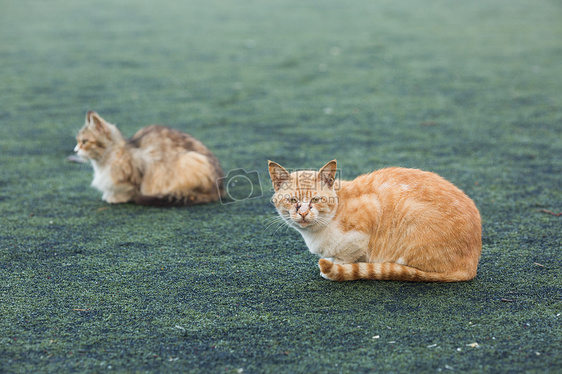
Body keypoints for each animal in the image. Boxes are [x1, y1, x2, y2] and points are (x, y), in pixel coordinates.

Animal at [74, 109, 223, 206]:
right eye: (77, 141)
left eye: (84, 141)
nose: (75, 150)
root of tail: (220, 189)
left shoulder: (136, 174)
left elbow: (128, 191)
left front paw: (114, 198)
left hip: (191, 160)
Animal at [268, 159, 482, 282]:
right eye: (292, 201)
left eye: (315, 200)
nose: (303, 213)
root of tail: (471, 266)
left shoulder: (369, 214)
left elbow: (345, 257)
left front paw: (337, 266)